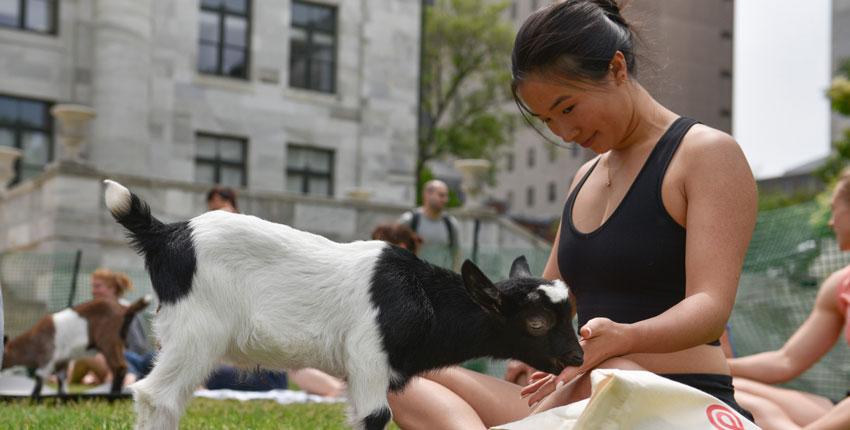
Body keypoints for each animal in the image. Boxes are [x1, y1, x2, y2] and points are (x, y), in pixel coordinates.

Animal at [2, 296, 151, 400]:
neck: (34, 340)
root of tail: (124, 309)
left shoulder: (48, 356)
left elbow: (40, 377)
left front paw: (33, 398)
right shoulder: (62, 360)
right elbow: (62, 379)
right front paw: (61, 397)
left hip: (109, 341)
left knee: (119, 367)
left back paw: (113, 395)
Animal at [101, 180, 584, 428]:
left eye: (572, 314)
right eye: (537, 322)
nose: (578, 356)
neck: (420, 295)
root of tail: (166, 233)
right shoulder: (367, 358)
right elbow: (375, 416)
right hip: (198, 329)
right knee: (157, 396)